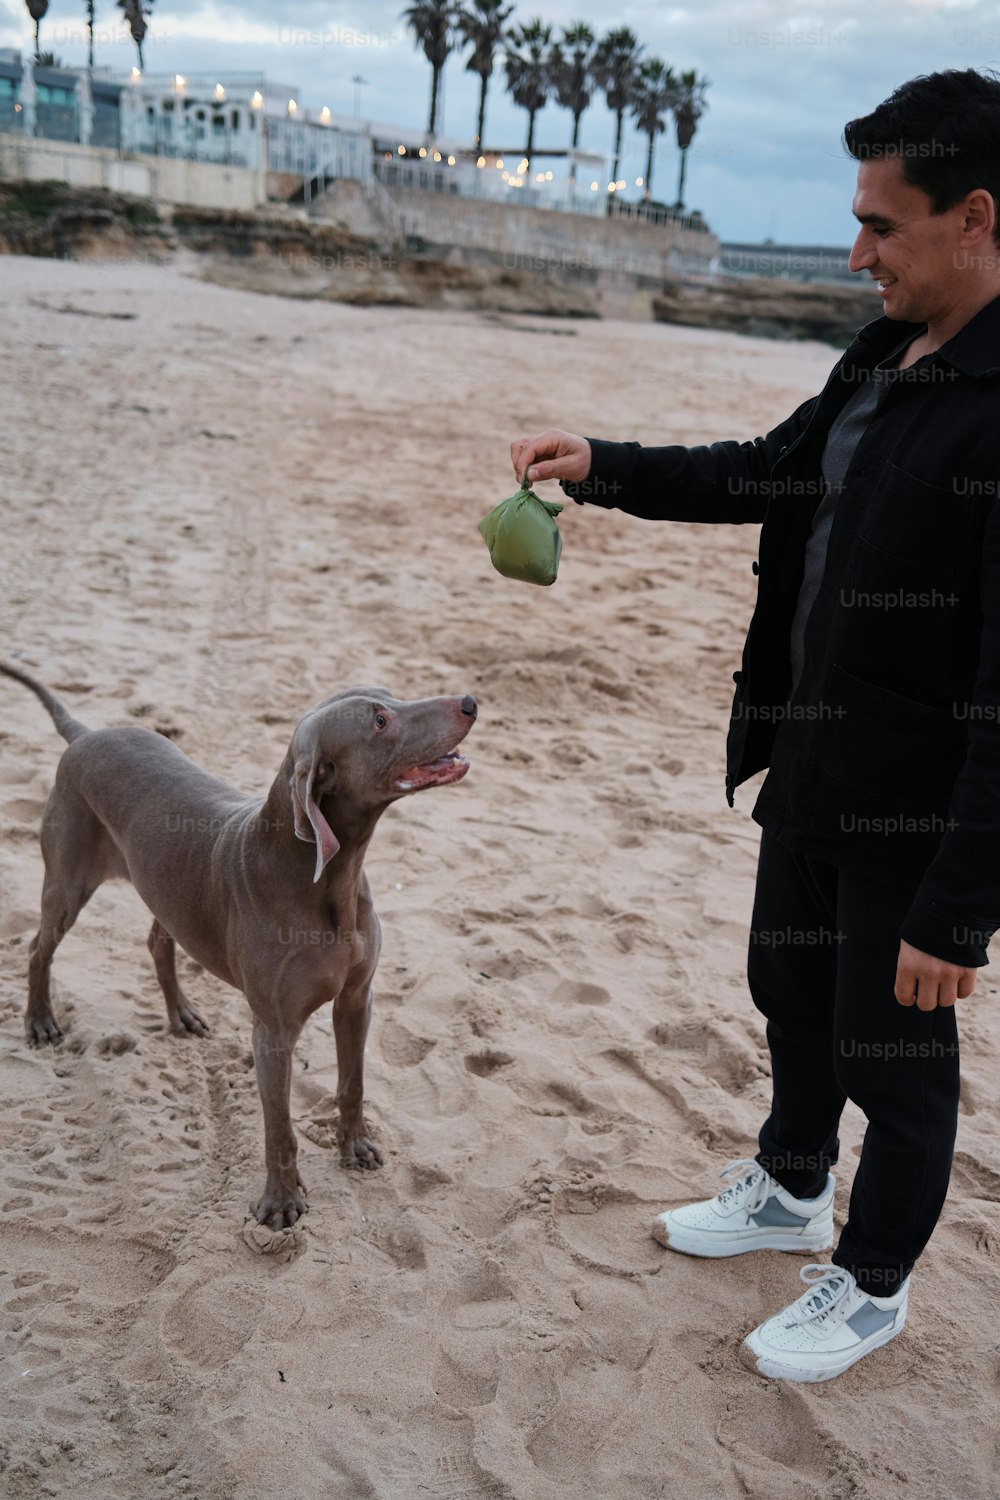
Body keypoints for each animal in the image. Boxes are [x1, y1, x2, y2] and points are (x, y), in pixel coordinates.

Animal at [0, 669, 476, 1230]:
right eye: (379, 721)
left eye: (390, 694)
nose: (469, 701)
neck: (325, 879)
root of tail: (86, 734)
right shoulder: (272, 1032)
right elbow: (279, 1128)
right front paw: (280, 1202)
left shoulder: (357, 998)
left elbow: (353, 1083)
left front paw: (355, 1147)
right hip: (68, 882)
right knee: (38, 948)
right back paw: (40, 1022)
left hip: (166, 889)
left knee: (158, 940)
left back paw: (181, 1014)